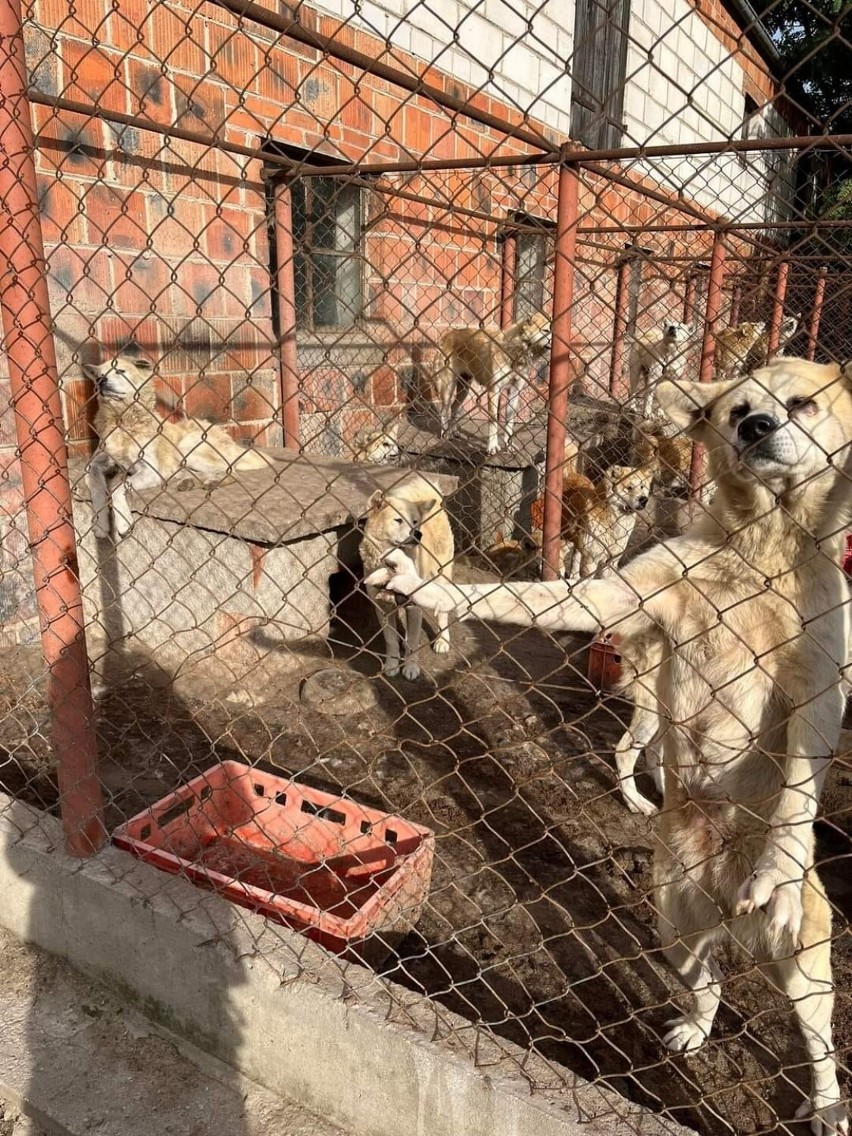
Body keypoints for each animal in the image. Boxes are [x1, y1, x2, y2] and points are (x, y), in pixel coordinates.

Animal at [83, 354, 270, 540]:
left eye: (120, 371)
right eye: (99, 375)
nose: (100, 381)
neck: (122, 420)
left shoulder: (150, 471)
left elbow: (115, 488)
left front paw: (123, 522)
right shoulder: (94, 465)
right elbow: (97, 488)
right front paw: (100, 524)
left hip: (187, 447)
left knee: (232, 472)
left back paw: (211, 482)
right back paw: (191, 482)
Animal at [361, 472, 454, 681]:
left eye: (414, 521)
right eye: (398, 520)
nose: (418, 533)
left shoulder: (414, 607)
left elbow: (413, 640)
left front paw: (411, 667)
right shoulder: (382, 607)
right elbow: (390, 640)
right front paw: (392, 664)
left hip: (442, 576)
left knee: (443, 614)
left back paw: (442, 641)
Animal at [433, 313, 554, 454]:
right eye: (545, 330)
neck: (516, 351)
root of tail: (448, 335)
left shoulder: (514, 393)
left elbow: (509, 423)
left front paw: (509, 444)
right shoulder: (493, 391)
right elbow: (493, 422)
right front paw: (492, 446)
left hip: (464, 389)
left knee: (454, 407)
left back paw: (454, 432)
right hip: (448, 388)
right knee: (444, 410)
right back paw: (445, 434)